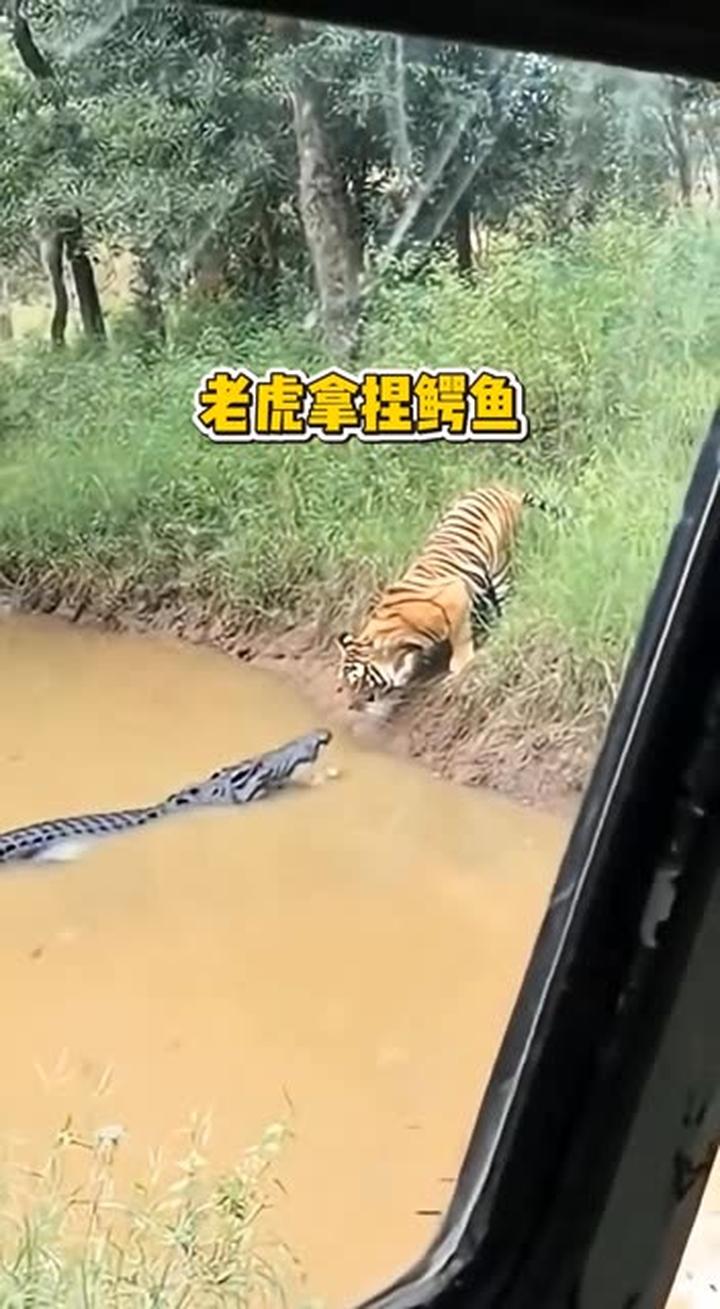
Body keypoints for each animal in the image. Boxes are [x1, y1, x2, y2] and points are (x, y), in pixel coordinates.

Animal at [335, 484, 564, 717]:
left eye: (358, 682)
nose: (351, 706)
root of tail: (502, 488)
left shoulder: (456, 595)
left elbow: (460, 636)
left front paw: (460, 666)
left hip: (502, 565)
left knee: (505, 599)